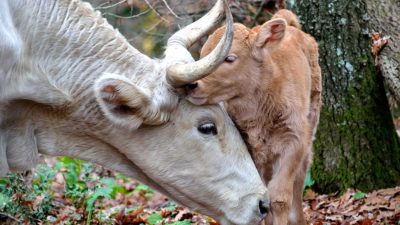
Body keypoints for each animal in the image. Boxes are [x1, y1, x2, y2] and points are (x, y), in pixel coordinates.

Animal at [188, 9, 322, 224]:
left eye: (229, 58)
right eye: (202, 55)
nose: (192, 84)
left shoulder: (294, 140)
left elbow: (280, 197)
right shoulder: (248, 146)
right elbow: (260, 197)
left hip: (311, 121)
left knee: (301, 173)